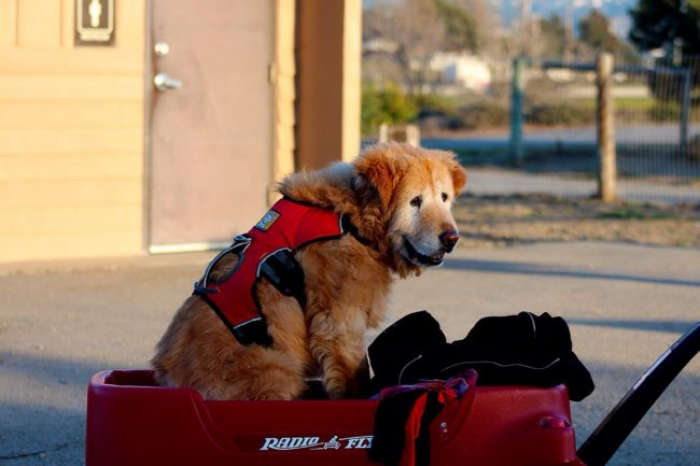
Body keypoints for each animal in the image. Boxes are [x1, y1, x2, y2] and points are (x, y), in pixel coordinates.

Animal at [150, 143, 468, 400]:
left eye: (444, 197)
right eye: (415, 201)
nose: (451, 238)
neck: (350, 218)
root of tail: (169, 377)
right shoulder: (340, 323)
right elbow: (354, 375)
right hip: (277, 371)